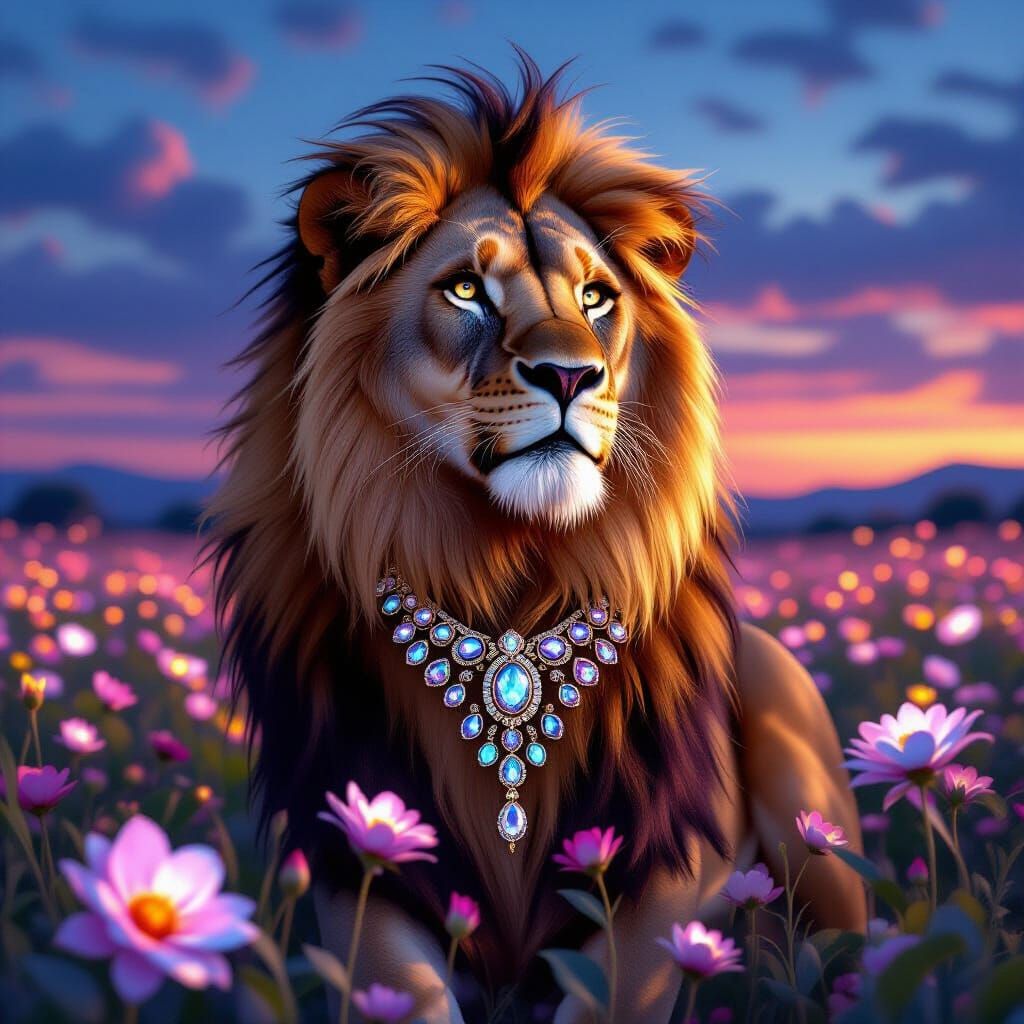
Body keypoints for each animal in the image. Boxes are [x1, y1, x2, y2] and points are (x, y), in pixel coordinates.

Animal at [208, 56, 865, 1022]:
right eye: (465, 289)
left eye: (597, 298)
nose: (570, 374)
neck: (505, 579)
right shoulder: (354, 855)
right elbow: (403, 990)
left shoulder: (678, 858)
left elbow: (610, 988)